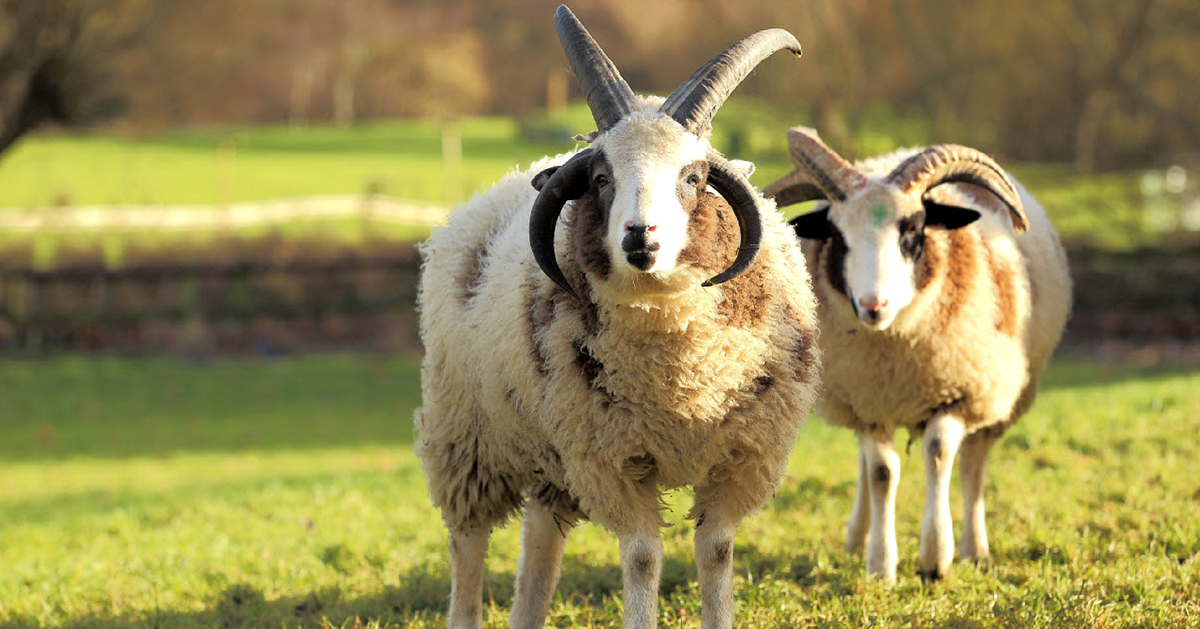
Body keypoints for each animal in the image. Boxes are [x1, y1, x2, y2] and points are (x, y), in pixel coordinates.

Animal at [410, 6, 816, 629]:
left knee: (541, 538)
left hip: (549, 448)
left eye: (694, 178)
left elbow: (716, 550)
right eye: (602, 179)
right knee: (468, 543)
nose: (639, 236)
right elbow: (644, 558)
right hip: (467, 435)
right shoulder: (611, 459)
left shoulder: (741, 456)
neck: (680, 375)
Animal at [763, 126, 1075, 585]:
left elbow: (940, 454)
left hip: (1000, 393)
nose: (872, 305)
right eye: (838, 237)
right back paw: (857, 538)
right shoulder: (867, 401)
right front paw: (880, 564)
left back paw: (975, 548)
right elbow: (881, 473)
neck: (896, 353)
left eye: (912, 231)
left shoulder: (959, 392)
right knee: (868, 465)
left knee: (973, 466)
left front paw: (934, 559)